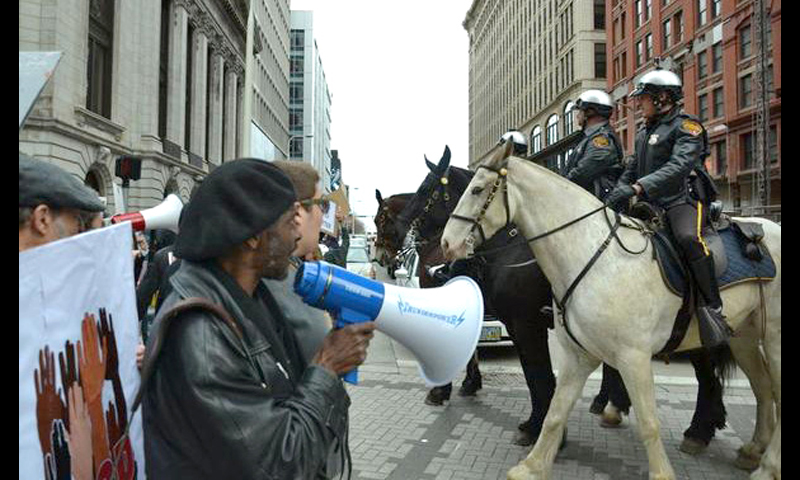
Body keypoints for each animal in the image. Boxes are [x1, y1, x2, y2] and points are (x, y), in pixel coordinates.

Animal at [440, 142, 780, 480]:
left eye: (477, 189)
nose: (446, 244)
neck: (594, 256)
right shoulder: (578, 354)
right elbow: (555, 412)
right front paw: (533, 466)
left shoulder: (633, 357)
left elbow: (648, 423)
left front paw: (661, 473)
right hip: (744, 336)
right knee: (764, 388)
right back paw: (752, 451)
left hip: (772, 337)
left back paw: (763, 463)